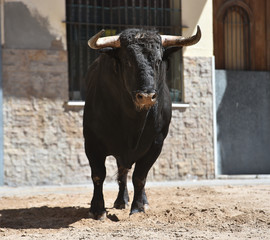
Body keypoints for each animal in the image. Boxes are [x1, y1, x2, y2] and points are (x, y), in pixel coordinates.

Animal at [83, 27, 200, 218]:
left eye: (158, 61)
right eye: (127, 61)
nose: (146, 96)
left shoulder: (156, 143)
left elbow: (140, 177)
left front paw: (138, 207)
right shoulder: (92, 142)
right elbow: (98, 175)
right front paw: (97, 209)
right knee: (122, 172)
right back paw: (120, 201)